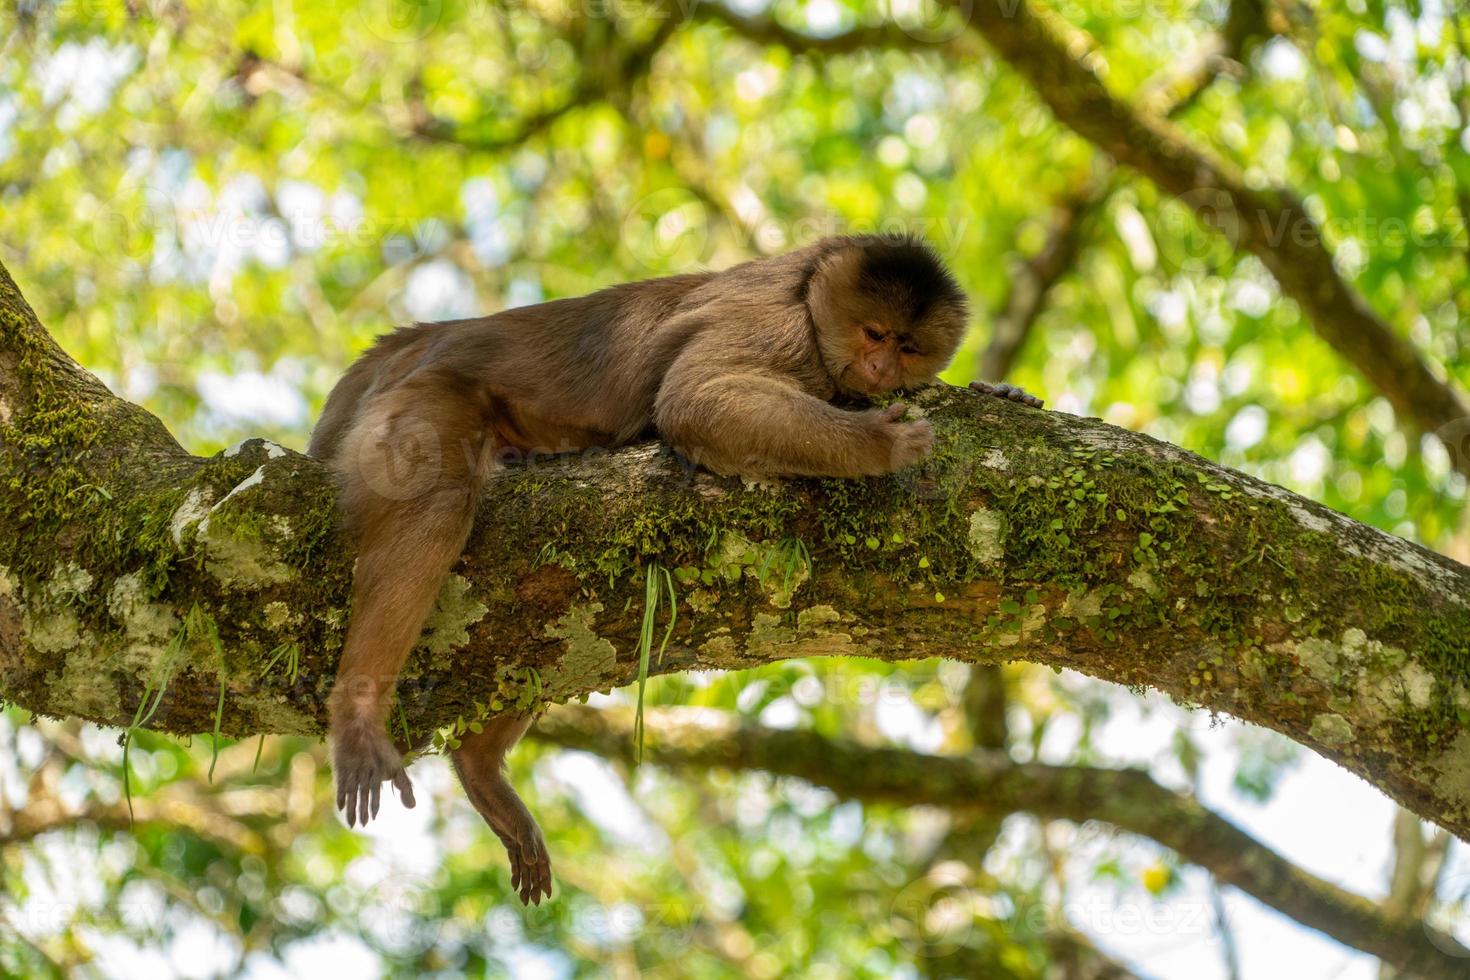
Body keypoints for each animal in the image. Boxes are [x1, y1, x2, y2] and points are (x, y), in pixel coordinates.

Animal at [311, 233, 1046, 910]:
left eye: (908, 347)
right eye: (874, 333)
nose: (877, 364)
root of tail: (416, 342)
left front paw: (1000, 390)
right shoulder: (783, 328)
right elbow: (696, 401)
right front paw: (879, 444)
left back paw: (482, 769)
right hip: (418, 402)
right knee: (434, 502)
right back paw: (360, 713)